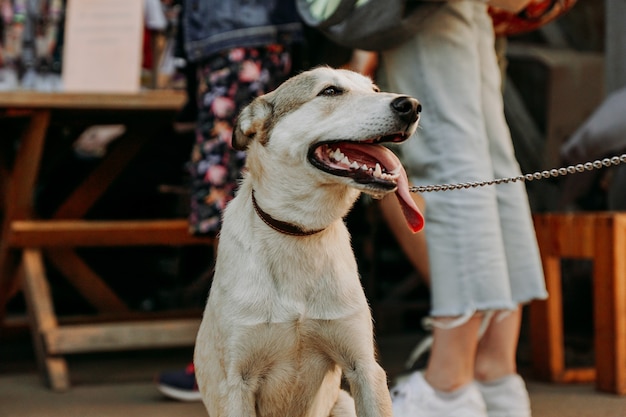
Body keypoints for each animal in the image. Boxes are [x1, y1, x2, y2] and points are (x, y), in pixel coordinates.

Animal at [193, 66, 422, 414]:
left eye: (374, 89)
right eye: (330, 91)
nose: (411, 105)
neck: (298, 229)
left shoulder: (364, 368)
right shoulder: (237, 381)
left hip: (342, 402)